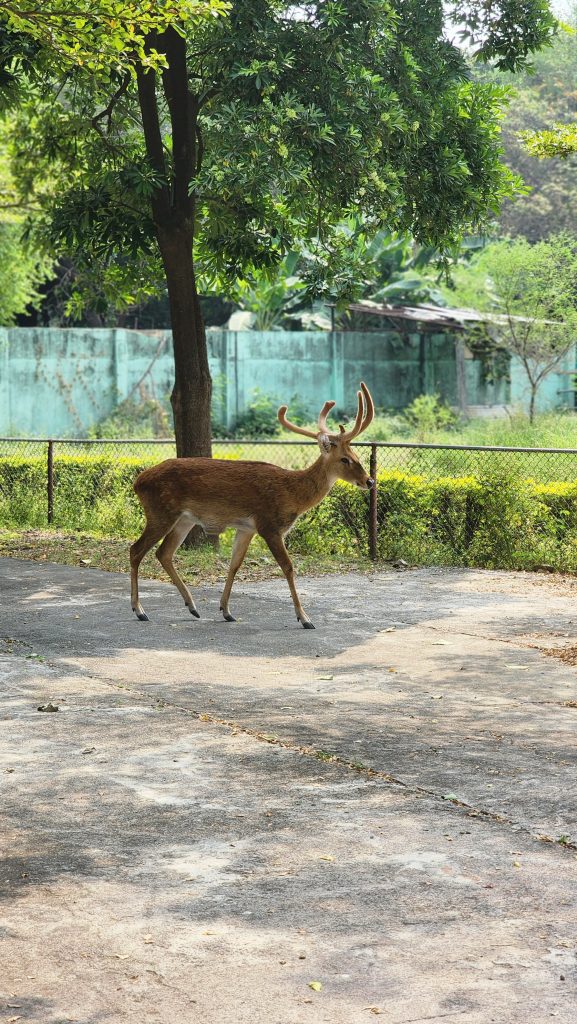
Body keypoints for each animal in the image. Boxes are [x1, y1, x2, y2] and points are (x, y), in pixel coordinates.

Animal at [129, 381, 375, 629]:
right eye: (345, 459)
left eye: (356, 454)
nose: (370, 481)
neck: (292, 493)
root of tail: (137, 482)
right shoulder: (269, 525)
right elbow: (288, 567)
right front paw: (305, 618)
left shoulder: (247, 528)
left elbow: (234, 565)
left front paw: (226, 611)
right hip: (160, 512)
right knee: (136, 550)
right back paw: (139, 610)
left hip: (184, 519)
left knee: (163, 553)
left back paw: (192, 607)